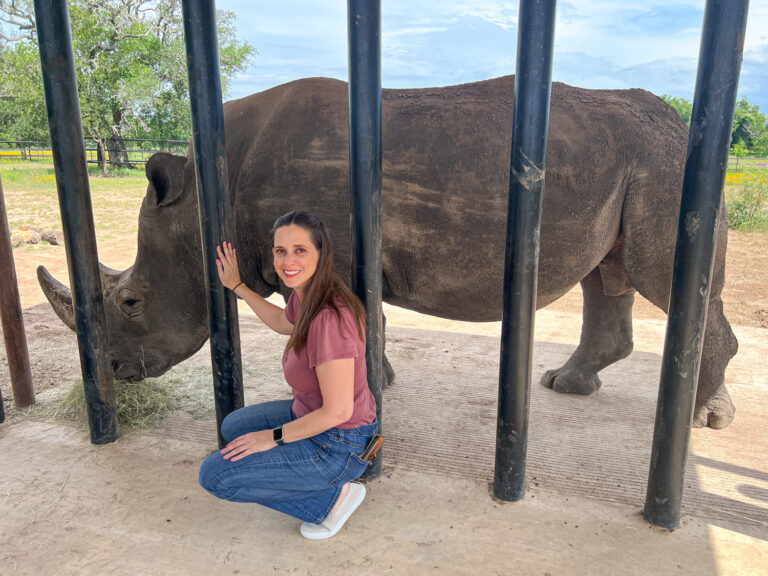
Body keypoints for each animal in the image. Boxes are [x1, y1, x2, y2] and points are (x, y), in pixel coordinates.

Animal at [38, 76, 738, 429]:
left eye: (132, 301)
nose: (117, 371)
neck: (208, 193)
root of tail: (680, 122)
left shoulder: (335, 246)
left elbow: (353, 317)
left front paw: (367, 386)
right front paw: (376, 381)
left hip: (665, 163)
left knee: (655, 273)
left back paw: (703, 419)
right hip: (637, 161)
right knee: (609, 275)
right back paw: (566, 385)